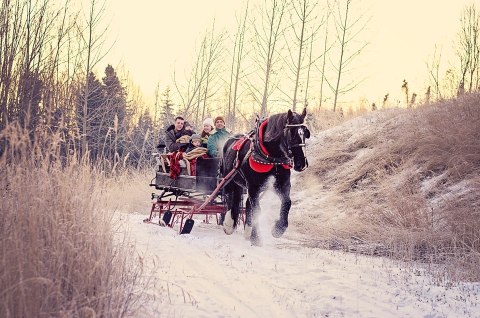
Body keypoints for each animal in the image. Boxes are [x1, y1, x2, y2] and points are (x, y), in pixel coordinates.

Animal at [222, 108, 312, 245]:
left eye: (305, 133)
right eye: (291, 134)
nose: (302, 163)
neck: (272, 159)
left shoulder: (281, 184)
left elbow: (287, 202)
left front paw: (279, 229)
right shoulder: (253, 186)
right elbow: (257, 210)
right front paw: (256, 238)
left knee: (246, 203)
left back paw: (247, 231)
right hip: (230, 180)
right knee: (230, 197)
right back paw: (228, 224)